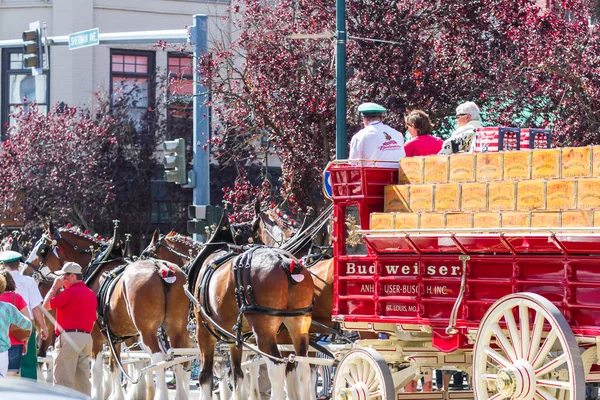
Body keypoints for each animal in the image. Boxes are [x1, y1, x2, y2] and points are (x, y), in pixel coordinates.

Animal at [24, 223, 190, 400]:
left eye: (42, 248)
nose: (24, 272)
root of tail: (163, 270)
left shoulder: (95, 336)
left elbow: (96, 369)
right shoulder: (114, 337)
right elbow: (114, 367)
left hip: (147, 331)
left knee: (159, 360)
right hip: (176, 328)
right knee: (179, 360)